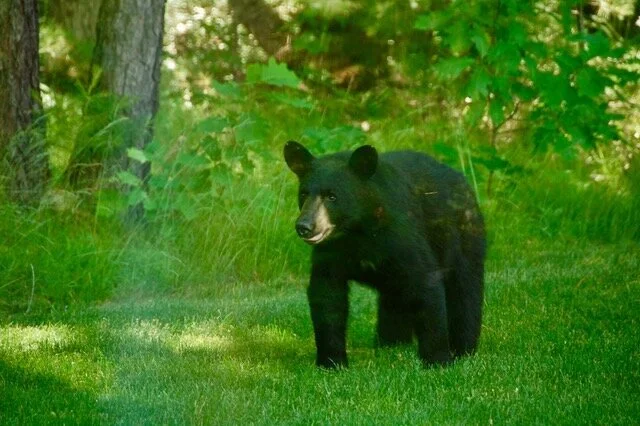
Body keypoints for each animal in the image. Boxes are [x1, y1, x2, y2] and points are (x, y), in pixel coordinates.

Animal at [284, 141, 486, 368]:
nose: (304, 226)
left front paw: (438, 360)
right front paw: (331, 361)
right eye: (303, 194)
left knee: (465, 290)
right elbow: (327, 296)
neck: (358, 232)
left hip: (464, 237)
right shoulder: (331, 253)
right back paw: (391, 344)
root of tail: (462, 180)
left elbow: (427, 284)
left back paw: (463, 349)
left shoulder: (403, 238)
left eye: (332, 196)